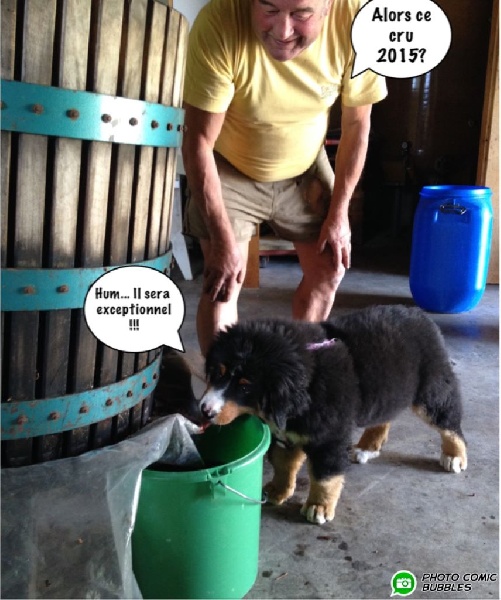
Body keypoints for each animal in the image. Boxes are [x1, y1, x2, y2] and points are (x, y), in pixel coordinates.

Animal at [200, 305, 468, 524]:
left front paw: (318, 506)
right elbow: (284, 464)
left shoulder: (328, 436)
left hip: (431, 391)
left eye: (245, 387)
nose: (204, 409)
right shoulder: (288, 433)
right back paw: (368, 447)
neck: (307, 381)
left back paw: (455, 455)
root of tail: (420, 314)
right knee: (384, 417)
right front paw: (277, 490)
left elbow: (324, 475)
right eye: (217, 372)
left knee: (450, 422)